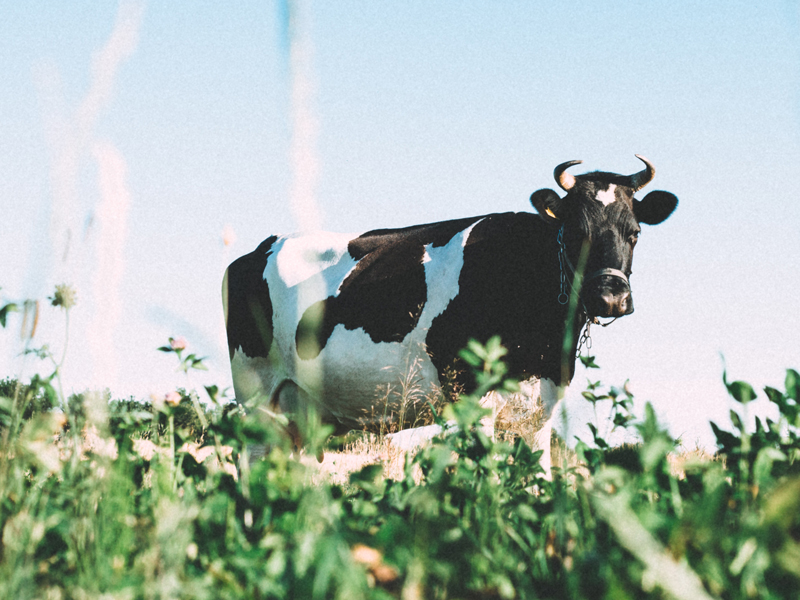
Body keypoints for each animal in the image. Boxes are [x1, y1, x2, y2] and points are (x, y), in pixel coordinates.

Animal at [222, 156, 678, 473]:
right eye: (577, 232)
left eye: (634, 232)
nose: (611, 297)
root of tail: (257, 249)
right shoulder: (473, 394)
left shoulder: (542, 404)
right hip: (256, 393)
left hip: (301, 413)